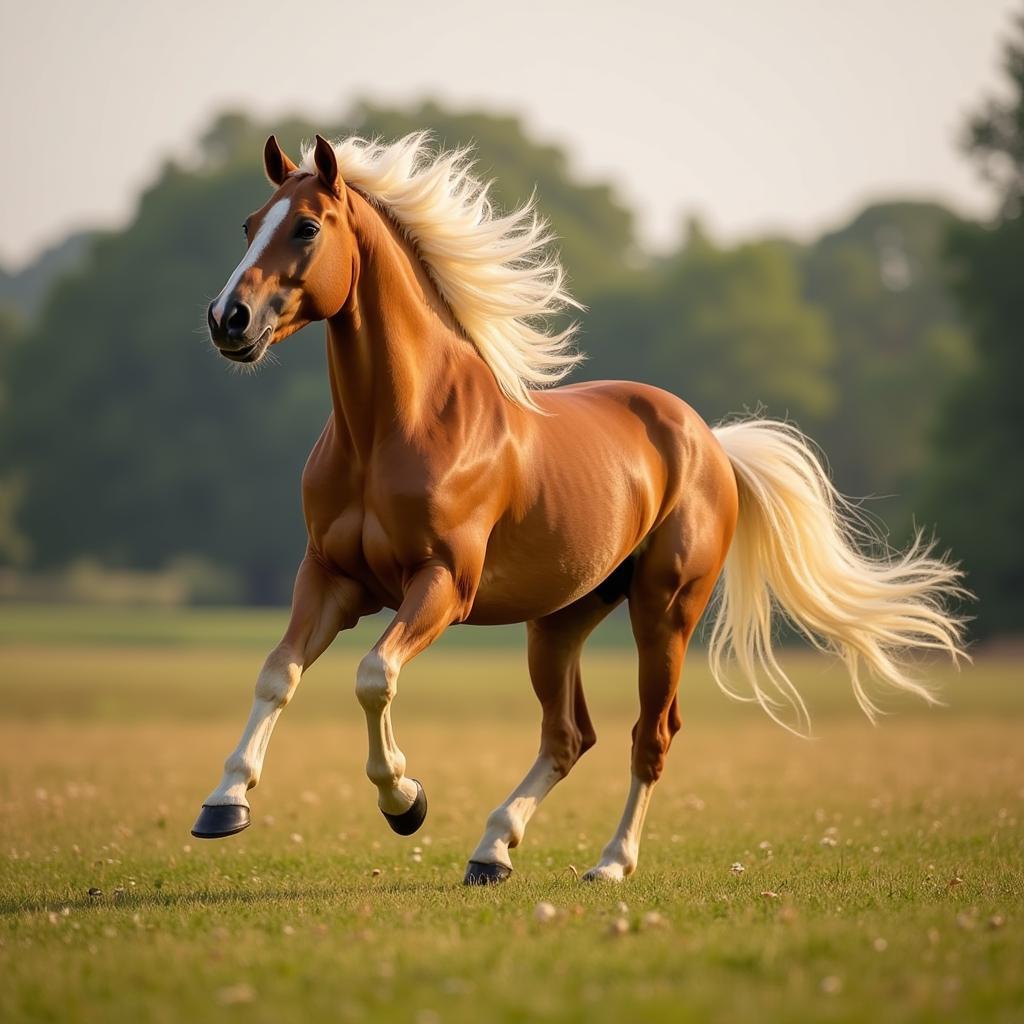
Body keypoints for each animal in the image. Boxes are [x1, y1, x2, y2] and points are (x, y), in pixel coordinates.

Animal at [192, 132, 966, 884]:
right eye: (249, 225)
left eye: (306, 227)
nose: (228, 320)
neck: (396, 429)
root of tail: (711, 443)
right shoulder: (331, 577)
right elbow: (279, 672)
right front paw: (225, 804)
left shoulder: (442, 584)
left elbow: (374, 676)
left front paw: (404, 801)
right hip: (560, 621)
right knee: (569, 736)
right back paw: (493, 850)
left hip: (664, 611)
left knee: (650, 735)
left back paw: (610, 862)